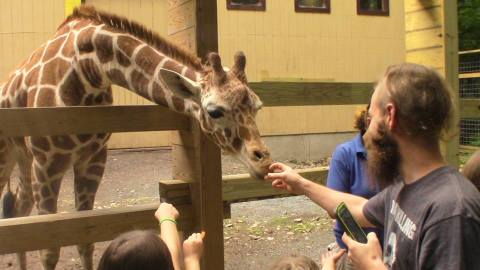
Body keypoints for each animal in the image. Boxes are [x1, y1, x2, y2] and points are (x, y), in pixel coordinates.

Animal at [0, 4, 270, 270]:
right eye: (214, 111)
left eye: (258, 106)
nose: (264, 162)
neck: (87, 69)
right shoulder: (47, 164)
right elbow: (49, 247)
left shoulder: (93, 159)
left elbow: (85, 239)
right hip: (10, 156)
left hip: (23, 158)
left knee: (18, 208)